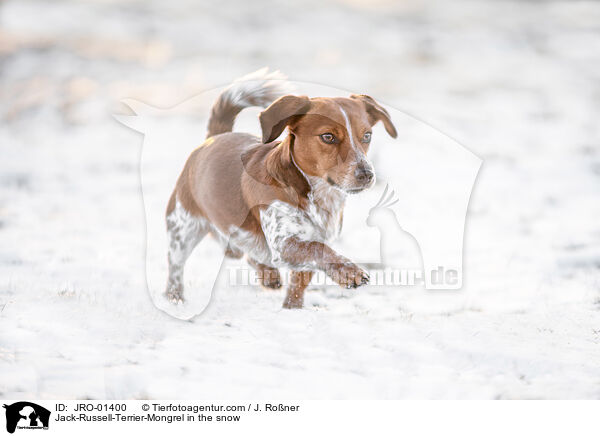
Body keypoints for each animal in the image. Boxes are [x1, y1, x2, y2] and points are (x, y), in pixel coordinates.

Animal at [166, 70, 396, 308]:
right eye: (328, 137)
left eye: (367, 136)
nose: (366, 174)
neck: (318, 196)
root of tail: (214, 137)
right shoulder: (284, 242)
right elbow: (318, 249)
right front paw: (350, 272)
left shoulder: (310, 242)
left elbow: (300, 283)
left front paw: (292, 309)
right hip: (183, 227)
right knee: (175, 264)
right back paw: (174, 296)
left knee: (247, 253)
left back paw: (268, 275)